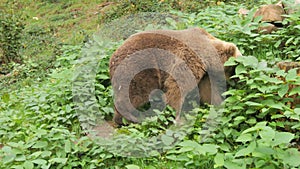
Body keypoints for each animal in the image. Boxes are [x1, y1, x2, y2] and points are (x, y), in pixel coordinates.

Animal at [109, 27, 240, 125]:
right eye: (234, 68)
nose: (233, 81)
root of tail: (112, 58)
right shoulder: (189, 56)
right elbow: (177, 86)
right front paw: (178, 115)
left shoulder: (205, 73)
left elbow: (207, 90)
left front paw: (218, 105)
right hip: (139, 65)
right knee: (136, 91)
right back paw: (131, 117)